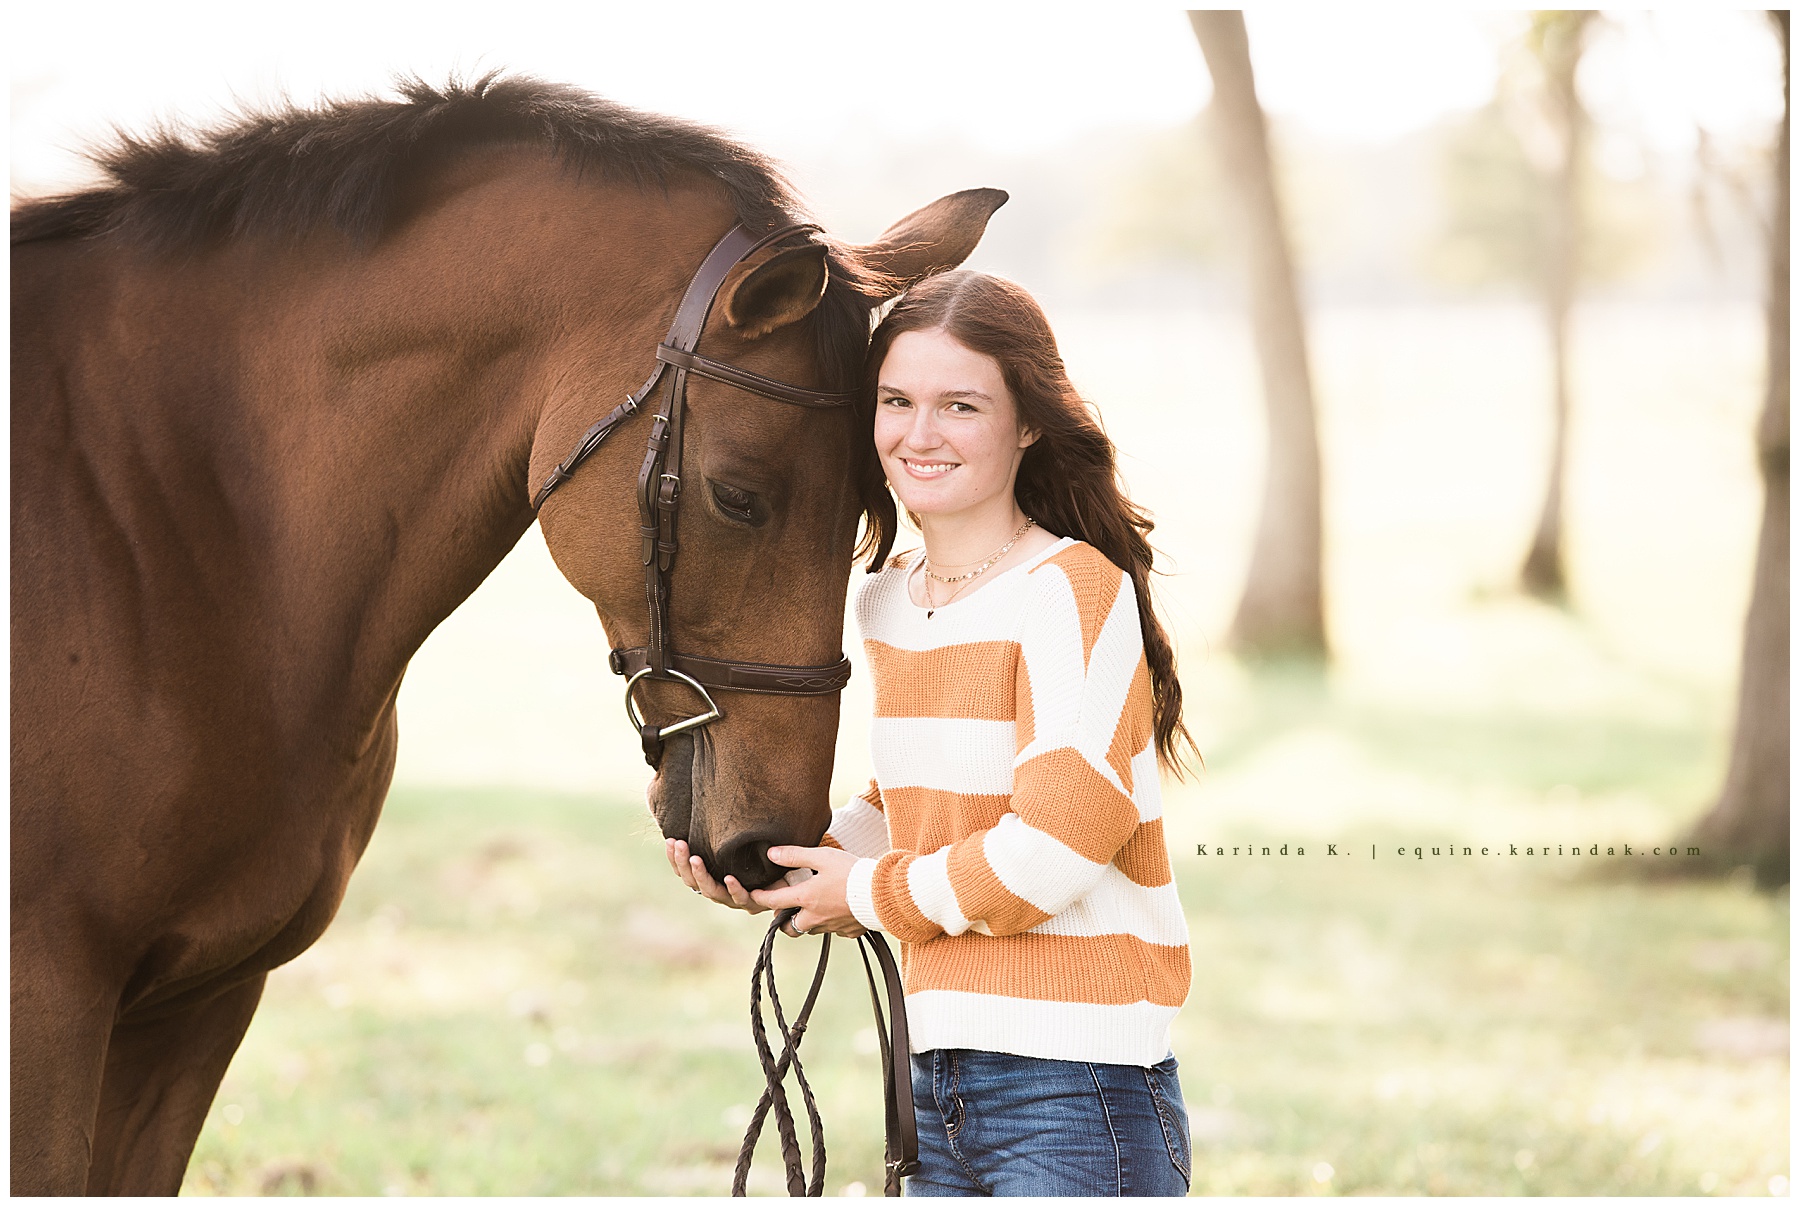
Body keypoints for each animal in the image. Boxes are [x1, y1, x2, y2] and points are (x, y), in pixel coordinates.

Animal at [10, 75, 1006, 1195]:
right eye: (739, 497)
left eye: (875, 513)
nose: (768, 845)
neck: (181, 512)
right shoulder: (48, 1002)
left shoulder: (202, 1000)